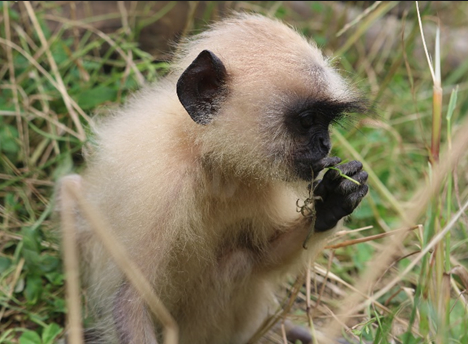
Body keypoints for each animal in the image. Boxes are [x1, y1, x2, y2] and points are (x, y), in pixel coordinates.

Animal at [61, 12, 370, 344]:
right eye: (308, 121)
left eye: (326, 123)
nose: (325, 144)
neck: (208, 160)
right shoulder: (160, 183)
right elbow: (129, 303)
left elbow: (263, 259)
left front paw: (333, 201)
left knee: (239, 261)